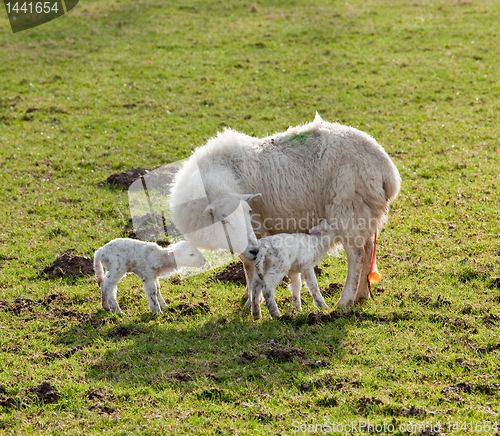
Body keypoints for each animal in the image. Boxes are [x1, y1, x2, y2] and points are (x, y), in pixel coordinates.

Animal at [170, 114, 400, 308]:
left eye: (247, 214)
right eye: (224, 221)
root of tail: (387, 170)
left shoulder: (257, 230)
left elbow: (251, 266)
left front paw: (251, 301)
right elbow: (246, 263)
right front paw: (247, 295)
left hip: (348, 208)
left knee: (357, 255)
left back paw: (345, 300)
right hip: (364, 212)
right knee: (369, 249)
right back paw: (362, 294)